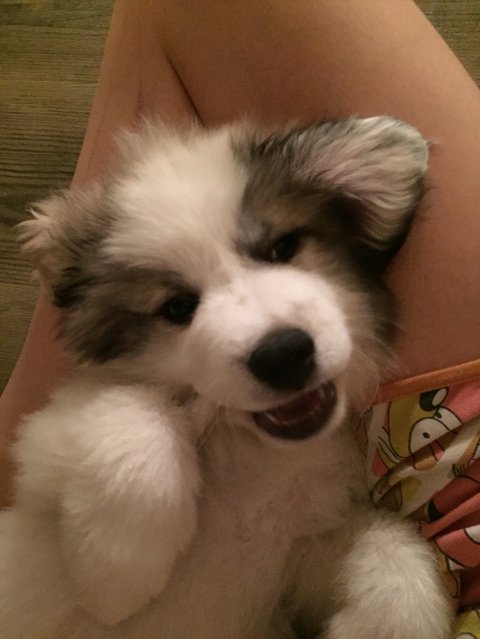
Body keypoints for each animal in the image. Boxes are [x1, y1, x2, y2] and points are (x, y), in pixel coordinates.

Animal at [0, 117, 453, 638]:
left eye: (283, 247)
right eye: (177, 307)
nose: (283, 355)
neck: (253, 455)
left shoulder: (300, 551)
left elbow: (395, 546)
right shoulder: (39, 452)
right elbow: (132, 413)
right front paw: (116, 578)